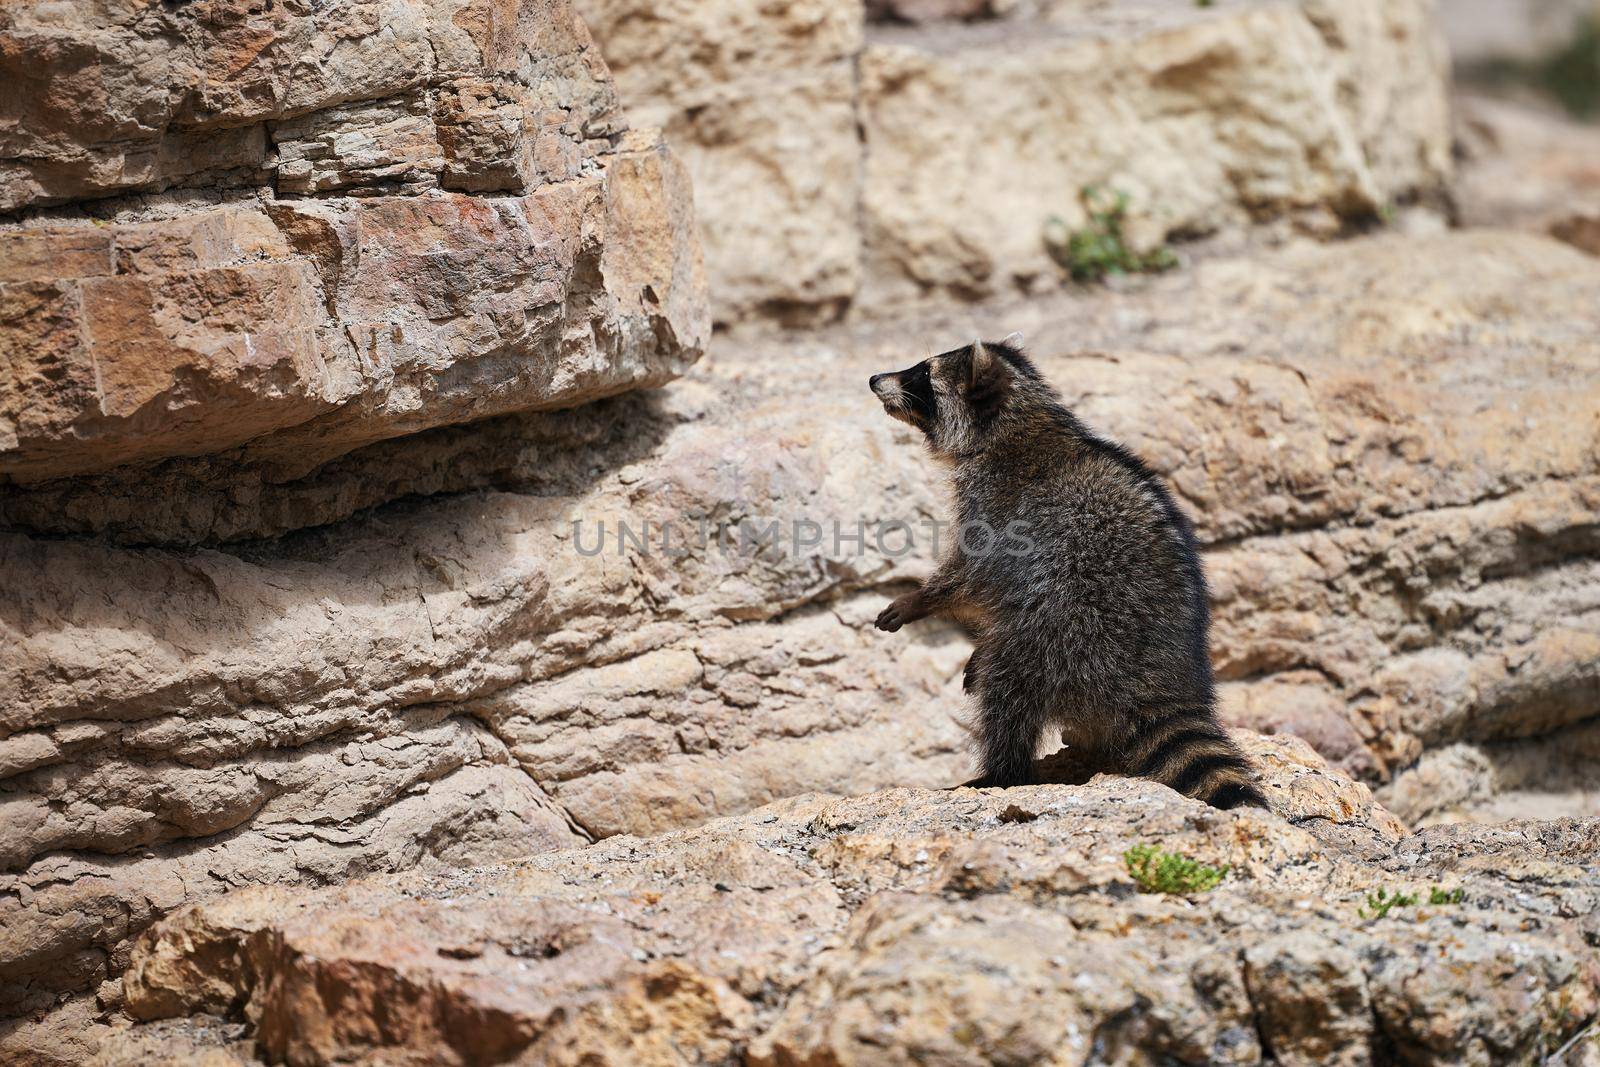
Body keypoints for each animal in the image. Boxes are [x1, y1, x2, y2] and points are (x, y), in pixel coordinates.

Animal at [870, 334, 1267, 809]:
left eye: (921, 374)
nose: (873, 378)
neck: (1016, 421)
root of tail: (1157, 675)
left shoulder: (999, 508)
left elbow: (974, 576)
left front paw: (922, 599)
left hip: (1068, 630)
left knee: (1007, 687)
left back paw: (1001, 772)